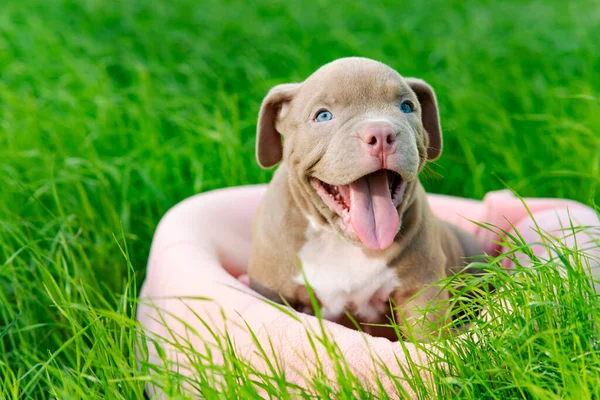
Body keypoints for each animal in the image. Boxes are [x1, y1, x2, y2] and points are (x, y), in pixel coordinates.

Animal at [247, 57, 482, 340]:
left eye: (407, 107)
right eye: (323, 115)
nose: (381, 133)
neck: (342, 242)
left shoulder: (420, 291)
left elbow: (426, 335)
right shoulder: (273, 291)